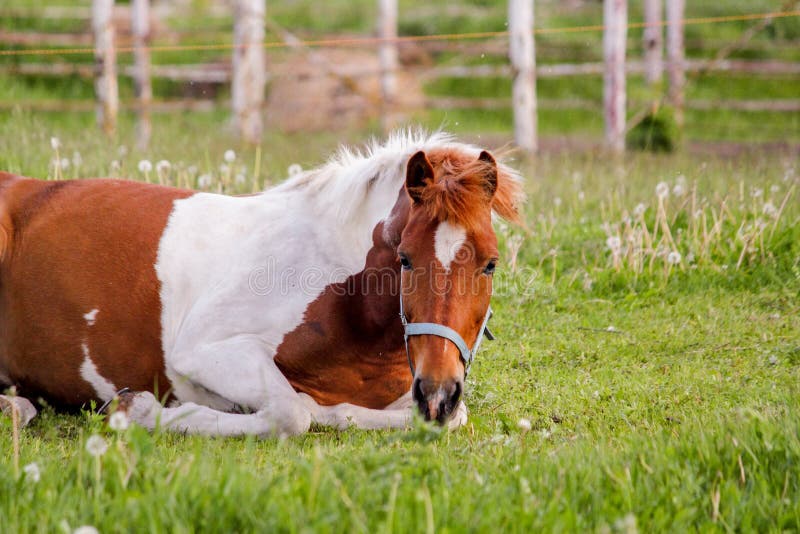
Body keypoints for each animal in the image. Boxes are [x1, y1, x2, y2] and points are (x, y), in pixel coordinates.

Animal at [0, 131, 523, 437]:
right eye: (406, 259)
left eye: (491, 265)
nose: (438, 392)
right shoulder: (206, 351)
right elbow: (292, 414)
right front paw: (139, 410)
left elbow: (446, 418)